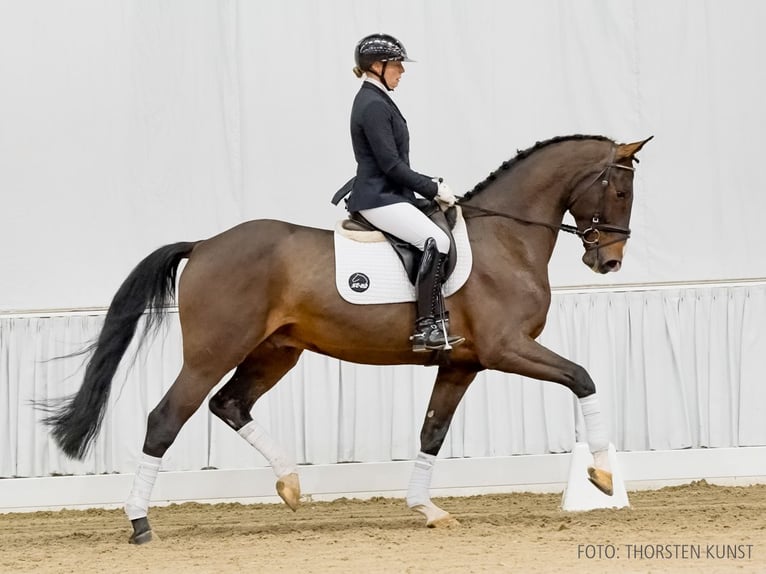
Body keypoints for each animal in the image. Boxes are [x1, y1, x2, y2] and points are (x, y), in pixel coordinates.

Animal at [42, 134, 656, 544]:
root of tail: (206, 244)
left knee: (231, 404)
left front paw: (426, 509)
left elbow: (432, 431)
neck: (505, 238)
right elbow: (583, 377)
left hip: (277, 352)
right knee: (166, 418)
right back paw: (140, 523)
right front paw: (603, 476)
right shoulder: (507, 349)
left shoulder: (463, 363)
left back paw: (290, 485)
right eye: (621, 189)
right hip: (213, 352)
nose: (609, 261)